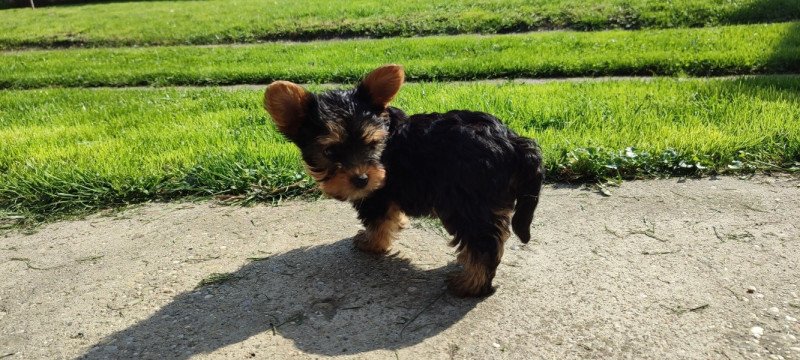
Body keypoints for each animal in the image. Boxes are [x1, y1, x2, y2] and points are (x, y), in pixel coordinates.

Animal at [262, 65, 544, 298]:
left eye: (371, 144)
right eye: (330, 152)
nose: (361, 179)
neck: (387, 138)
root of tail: (513, 140)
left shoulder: (376, 195)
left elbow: (377, 222)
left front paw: (371, 243)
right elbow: (390, 217)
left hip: (469, 203)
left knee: (484, 242)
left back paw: (469, 284)